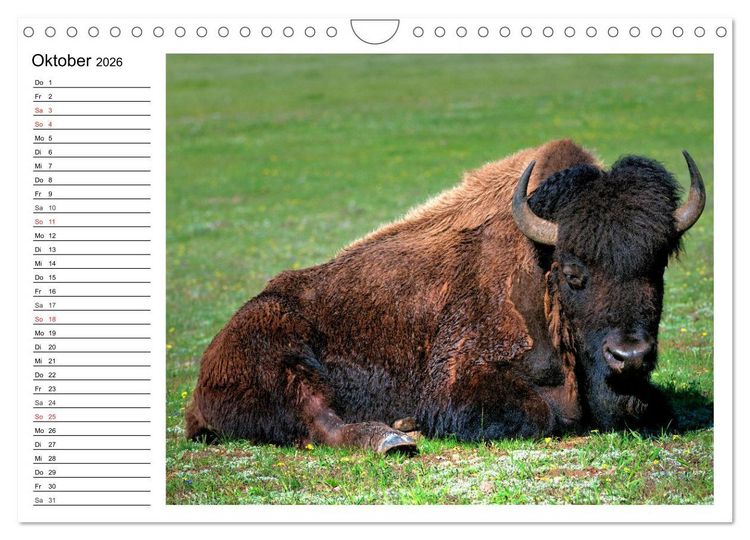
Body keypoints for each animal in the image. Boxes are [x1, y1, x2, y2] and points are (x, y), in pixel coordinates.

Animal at [185, 139, 706, 454]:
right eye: (574, 273)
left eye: (657, 265)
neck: (541, 263)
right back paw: (396, 436)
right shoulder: (459, 383)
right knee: (319, 420)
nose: (629, 355)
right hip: (284, 361)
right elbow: (543, 412)